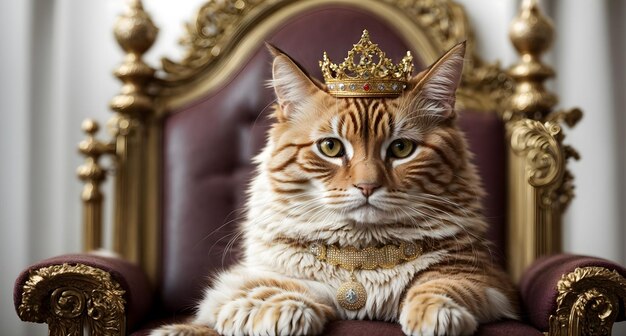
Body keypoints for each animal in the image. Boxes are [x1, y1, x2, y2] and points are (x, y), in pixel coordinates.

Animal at [149, 39, 516, 336]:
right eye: (331, 147)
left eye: (401, 149)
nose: (367, 186)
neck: (362, 255)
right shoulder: (243, 280)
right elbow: (265, 291)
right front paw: (283, 312)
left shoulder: (486, 279)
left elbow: (440, 283)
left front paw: (435, 315)